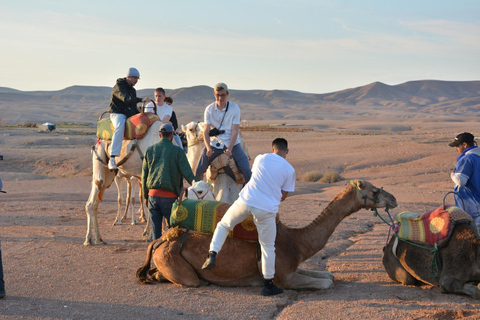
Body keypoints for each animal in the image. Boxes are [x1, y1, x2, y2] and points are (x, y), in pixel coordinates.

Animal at [136, 180, 398, 290]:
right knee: (188, 279)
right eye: (375, 190)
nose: (393, 199)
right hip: (175, 261)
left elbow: (329, 275)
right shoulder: (283, 278)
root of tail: (163, 239)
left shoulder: (291, 267)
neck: (297, 242)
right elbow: (325, 282)